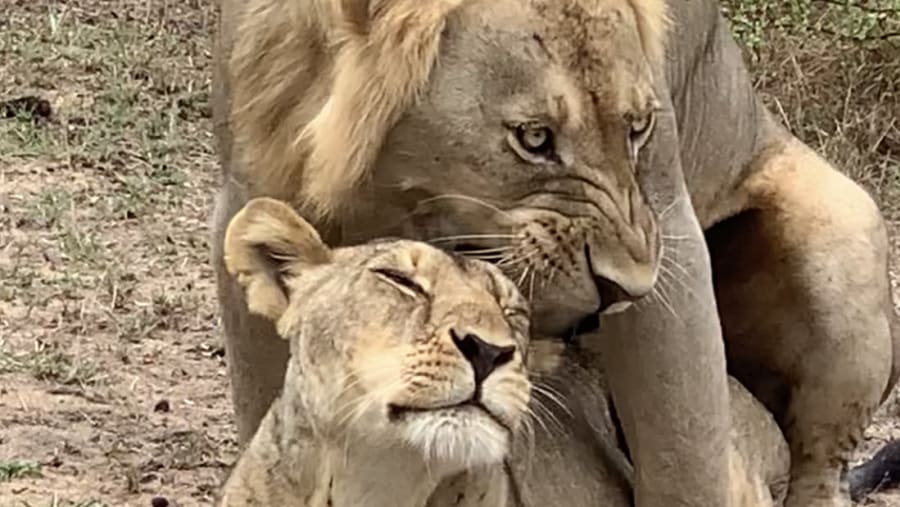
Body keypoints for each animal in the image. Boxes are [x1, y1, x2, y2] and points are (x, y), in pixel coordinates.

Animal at [210, 0, 899, 505]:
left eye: (638, 128)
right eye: (534, 138)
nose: (626, 289)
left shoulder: (664, 213)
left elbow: (684, 450)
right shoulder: (250, 189)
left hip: (843, 226)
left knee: (816, 473)